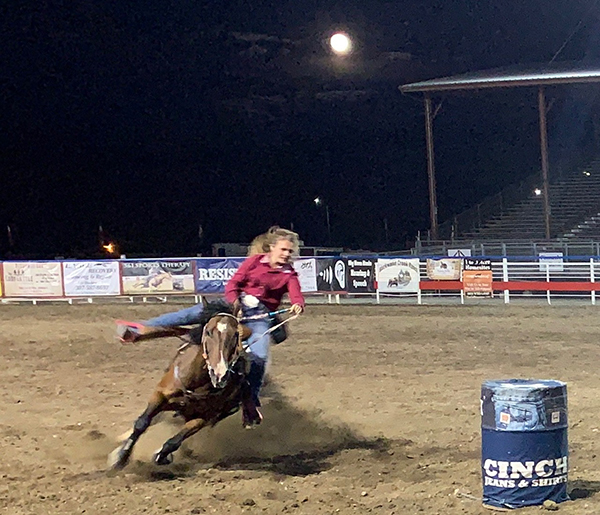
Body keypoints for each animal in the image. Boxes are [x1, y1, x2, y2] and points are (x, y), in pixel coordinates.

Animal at [108, 298, 258, 472]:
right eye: (208, 332)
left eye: (236, 334)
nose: (220, 373)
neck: (197, 383)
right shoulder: (160, 395)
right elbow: (141, 423)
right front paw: (120, 457)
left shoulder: (203, 418)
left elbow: (174, 441)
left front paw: (162, 456)